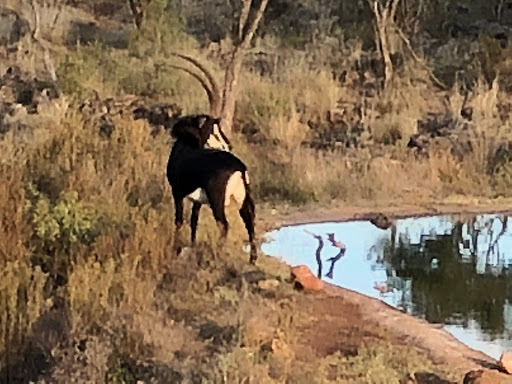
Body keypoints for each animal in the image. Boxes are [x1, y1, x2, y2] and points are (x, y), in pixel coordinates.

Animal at [167, 114, 258, 264]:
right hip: (242, 200)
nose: (228, 145)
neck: (186, 146)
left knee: (224, 225)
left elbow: (179, 221)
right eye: (214, 131)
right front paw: (192, 245)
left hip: (217, 201)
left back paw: (217, 254)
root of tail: (239, 167)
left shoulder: (177, 192)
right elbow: (194, 221)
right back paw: (252, 259)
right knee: (249, 222)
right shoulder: (197, 201)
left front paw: (176, 248)